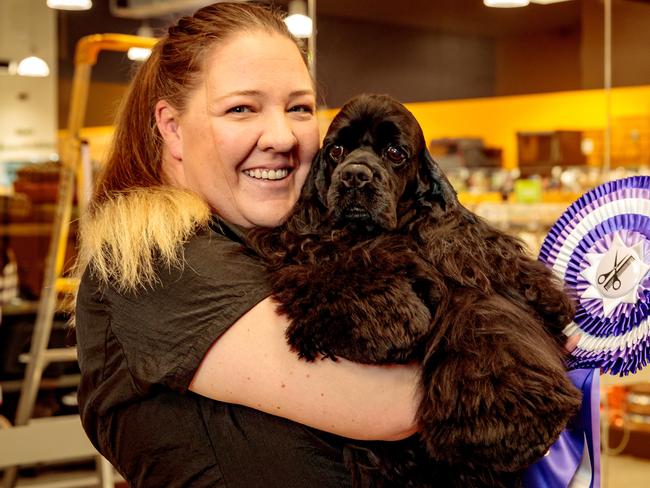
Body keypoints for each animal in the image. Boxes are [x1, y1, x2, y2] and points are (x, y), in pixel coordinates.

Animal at [247, 93, 576, 486]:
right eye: (336, 150)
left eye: (395, 153)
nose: (354, 176)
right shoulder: (312, 249)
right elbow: (342, 264)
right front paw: (385, 322)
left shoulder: (462, 262)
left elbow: (481, 314)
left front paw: (503, 422)